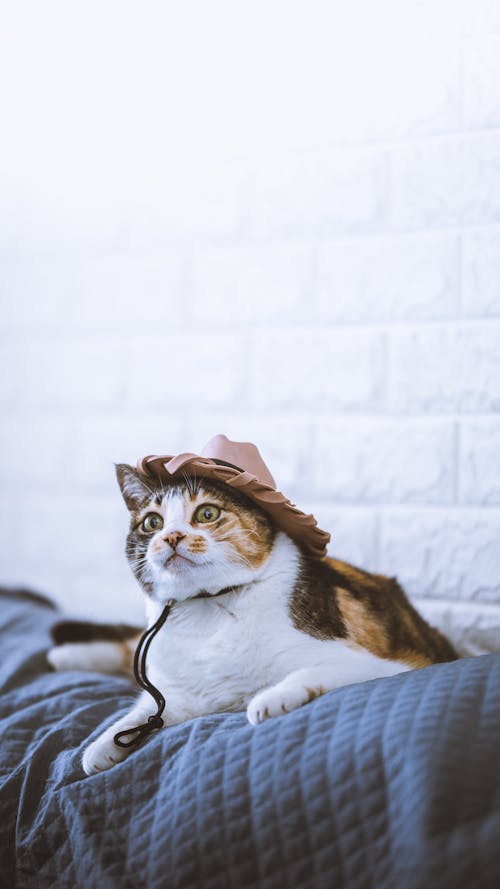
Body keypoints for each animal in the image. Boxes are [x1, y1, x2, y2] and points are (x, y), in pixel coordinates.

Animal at [47, 462, 458, 772]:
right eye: (152, 523)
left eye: (207, 513)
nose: (171, 537)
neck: (207, 612)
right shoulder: (178, 696)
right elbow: (141, 712)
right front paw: (101, 744)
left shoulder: (384, 664)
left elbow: (308, 673)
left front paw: (269, 699)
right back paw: (62, 656)